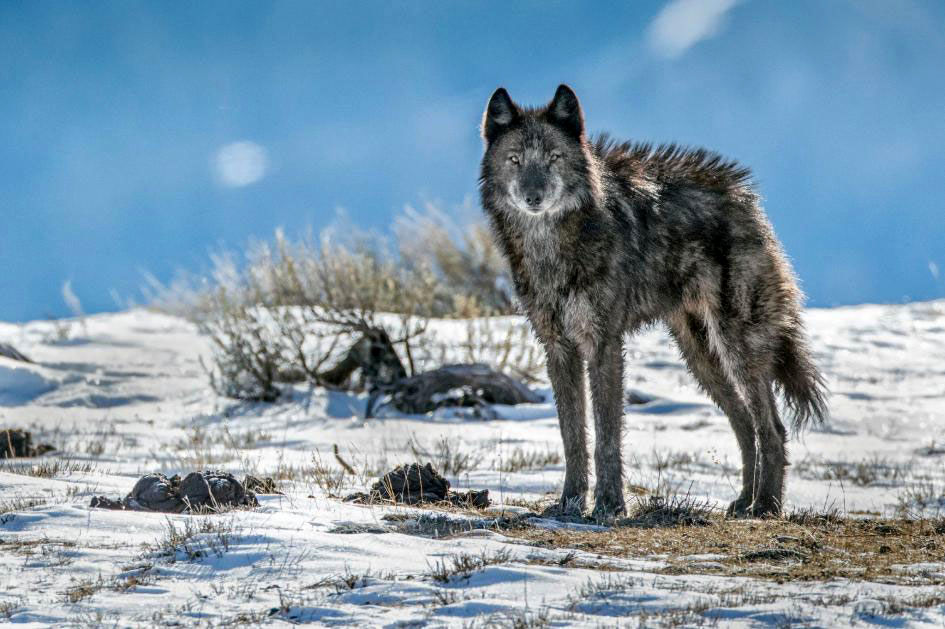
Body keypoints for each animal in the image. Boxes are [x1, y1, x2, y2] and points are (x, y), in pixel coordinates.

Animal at [480, 83, 824, 516]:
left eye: (554, 158)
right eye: (515, 160)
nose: (533, 196)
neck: (554, 248)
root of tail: (745, 198)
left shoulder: (604, 343)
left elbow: (607, 437)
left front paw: (610, 505)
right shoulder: (558, 348)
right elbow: (572, 437)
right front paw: (570, 502)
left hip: (737, 347)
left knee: (772, 428)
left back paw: (766, 506)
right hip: (700, 358)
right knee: (746, 424)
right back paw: (744, 500)